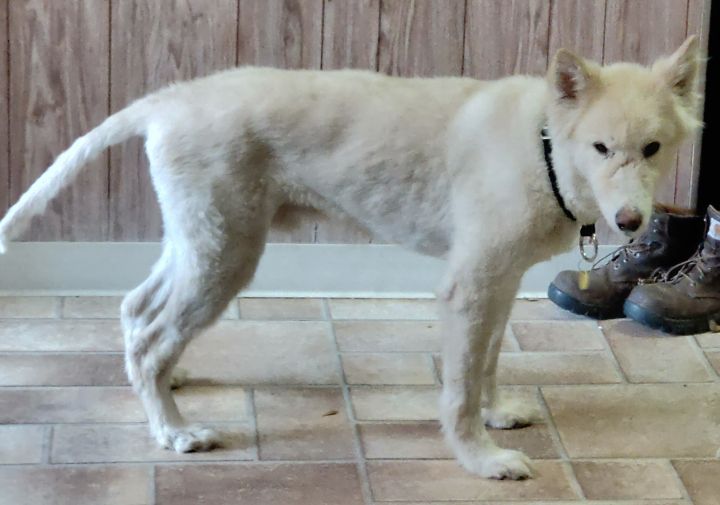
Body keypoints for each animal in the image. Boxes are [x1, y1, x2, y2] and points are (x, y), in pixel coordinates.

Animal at [0, 35, 700, 476]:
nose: (631, 224)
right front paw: (479, 460)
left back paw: (163, 388)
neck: (544, 143)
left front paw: (498, 415)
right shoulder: (470, 286)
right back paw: (173, 430)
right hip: (225, 250)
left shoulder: (499, 282)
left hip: (198, 237)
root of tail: (170, 98)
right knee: (149, 336)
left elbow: (488, 363)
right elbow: (459, 388)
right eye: (600, 148)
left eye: (654, 148)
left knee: (135, 310)